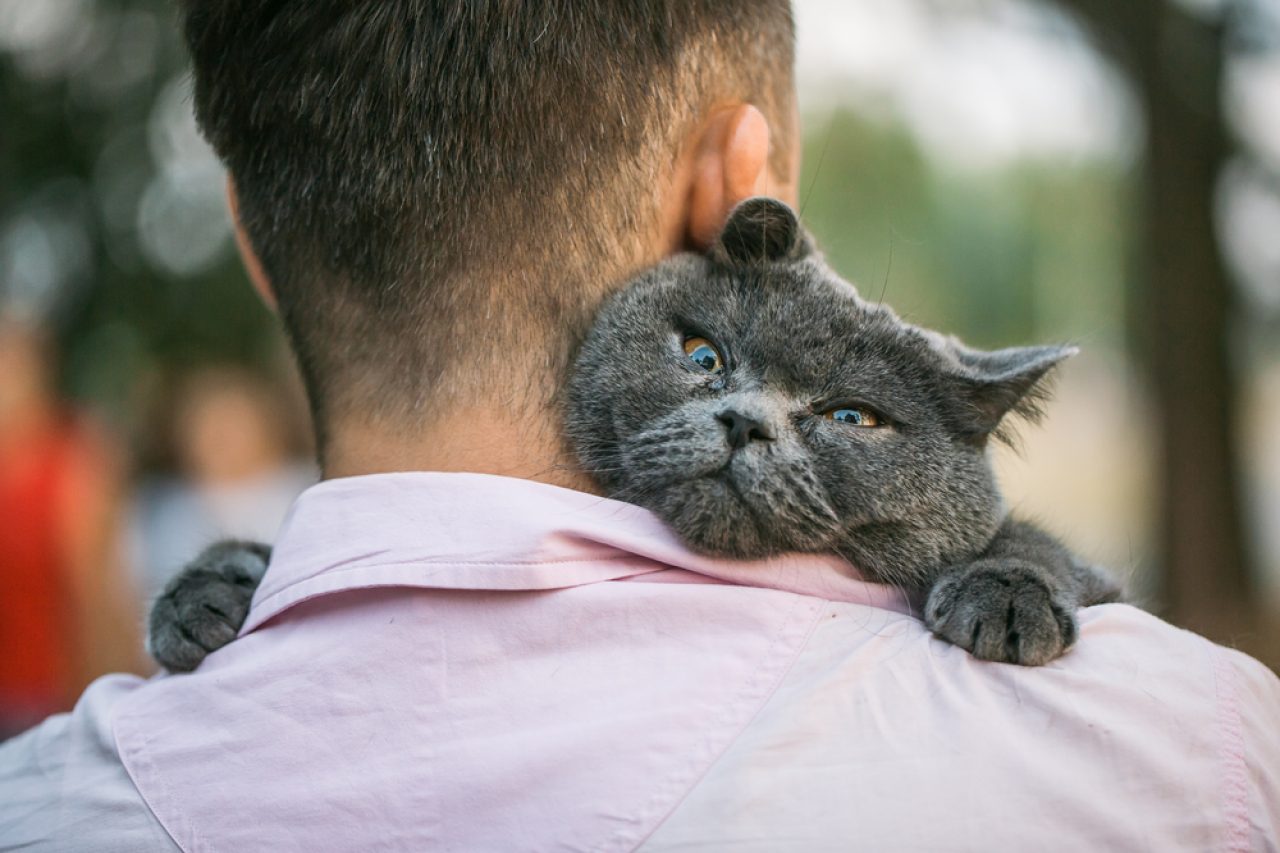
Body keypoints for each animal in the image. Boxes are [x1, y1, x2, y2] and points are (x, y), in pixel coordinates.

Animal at [145, 195, 1116, 666]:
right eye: (704, 354)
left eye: (850, 417)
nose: (743, 421)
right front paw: (209, 591)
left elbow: (1036, 543)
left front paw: (1007, 591)